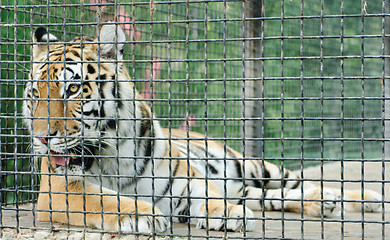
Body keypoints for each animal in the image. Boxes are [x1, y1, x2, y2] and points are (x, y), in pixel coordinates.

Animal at [22, 24, 380, 234]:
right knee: (268, 197)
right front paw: (143, 214)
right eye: (35, 94)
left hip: (252, 166)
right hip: (248, 185)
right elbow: (101, 199)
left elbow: (208, 195)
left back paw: (365, 198)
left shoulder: (186, 179)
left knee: (298, 182)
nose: (42, 138)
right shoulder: (58, 190)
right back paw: (325, 202)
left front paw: (228, 214)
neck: (111, 154)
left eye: (72, 89)